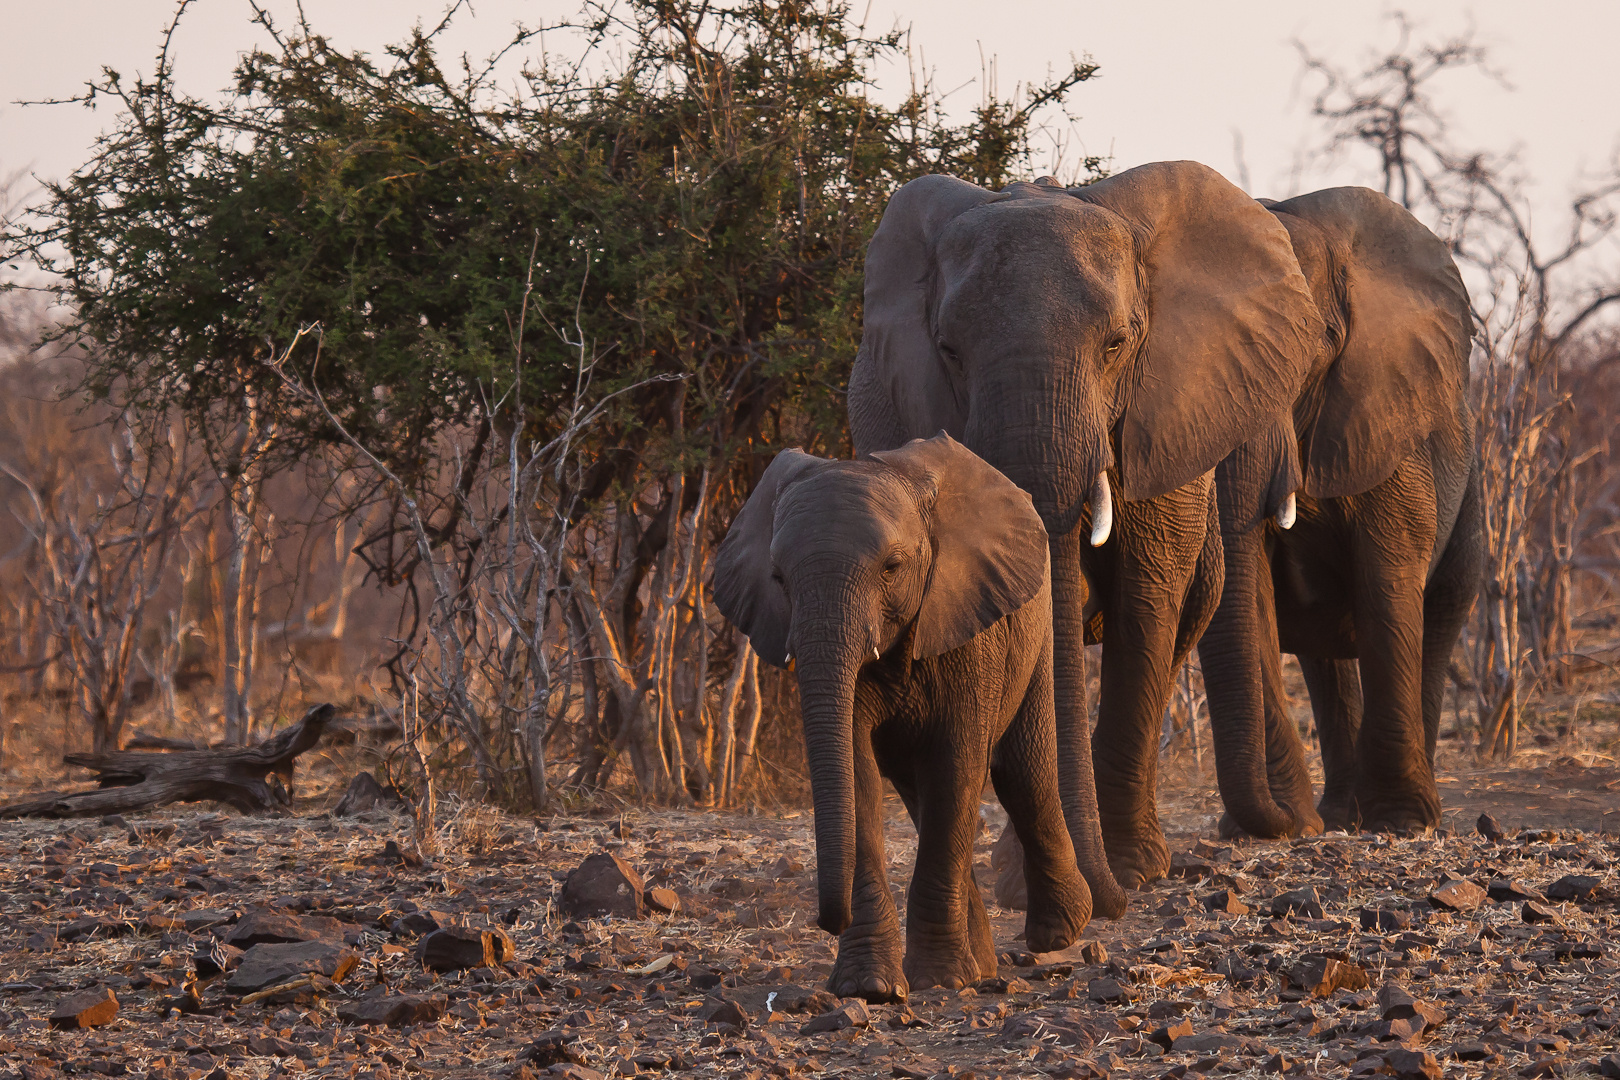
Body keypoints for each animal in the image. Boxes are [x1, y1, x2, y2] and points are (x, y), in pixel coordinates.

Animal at [719, 433, 1108, 1003]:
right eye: (778, 578)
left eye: (891, 566)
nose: (829, 919)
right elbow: (858, 775)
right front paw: (869, 988)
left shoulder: (970, 628)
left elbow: (955, 767)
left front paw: (939, 980)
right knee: (920, 790)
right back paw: (983, 964)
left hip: (1034, 632)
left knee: (1022, 774)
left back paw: (1056, 934)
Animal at [848, 156, 1328, 893]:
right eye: (948, 350)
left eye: (1117, 344)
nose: (1101, 896)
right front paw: (1038, 885)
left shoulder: (1167, 416)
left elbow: (1146, 599)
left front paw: (1124, 872)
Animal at [1205, 187, 1483, 835]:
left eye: (1316, 345)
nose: (1284, 821)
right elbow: (1253, 591)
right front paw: (1287, 826)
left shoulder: (1391, 434)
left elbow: (1386, 581)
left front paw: (1402, 823)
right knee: (1323, 658)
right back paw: (1337, 816)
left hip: (1471, 501)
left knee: (1437, 624)